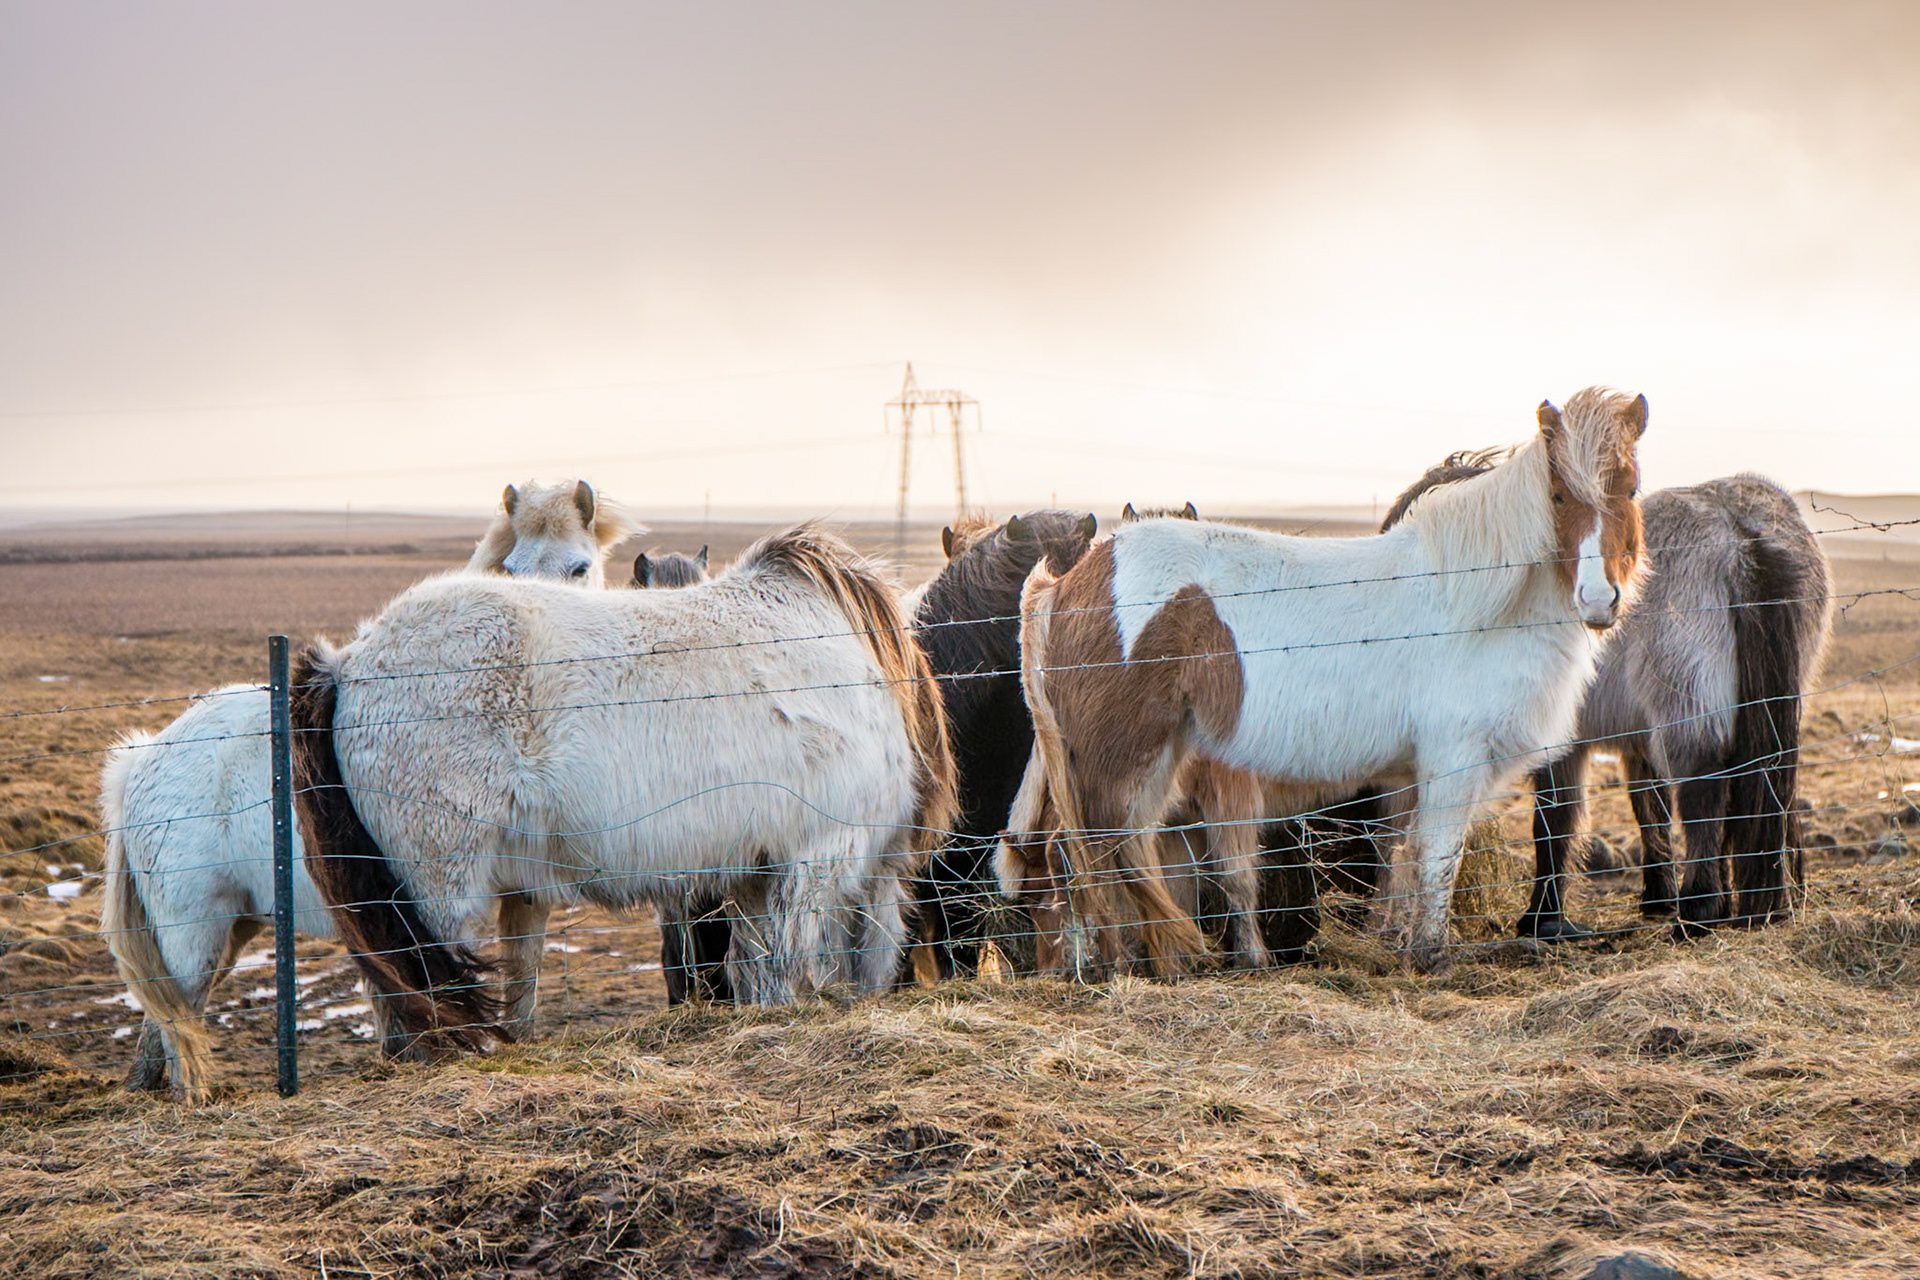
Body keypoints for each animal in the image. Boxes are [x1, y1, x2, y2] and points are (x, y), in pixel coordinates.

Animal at [99, 481, 644, 1100]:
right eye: (512, 568)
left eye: (580, 566)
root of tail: (140, 762)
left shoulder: (525, 897)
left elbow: (521, 987)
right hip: (193, 933)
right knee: (176, 1024)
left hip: (231, 927)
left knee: (158, 1029)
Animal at [291, 525, 955, 1058]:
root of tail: (348, 662)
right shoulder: (815, 857)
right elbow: (788, 969)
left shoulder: (759, 870)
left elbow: (755, 974)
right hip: (436, 890)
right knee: (416, 1000)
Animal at [1016, 388, 1647, 975]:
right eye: (1558, 495)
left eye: (1632, 489)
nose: (1598, 600)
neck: (1476, 600)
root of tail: (1073, 580)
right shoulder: (1453, 760)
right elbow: (1439, 858)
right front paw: (1432, 957)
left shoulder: (1410, 776)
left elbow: (1405, 858)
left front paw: (1398, 943)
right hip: (1118, 760)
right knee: (1078, 856)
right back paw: (1102, 970)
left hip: (1156, 761)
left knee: (1121, 853)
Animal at [1380, 461, 1831, 936]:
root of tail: (1740, 526)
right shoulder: (1637, 743)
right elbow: (1648, 809)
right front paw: (1656, 897)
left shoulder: (1563, 743)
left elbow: (1555, 819)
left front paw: (1543, 918)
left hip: (1687, 711)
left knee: (1703, 791)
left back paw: (1699, 910)